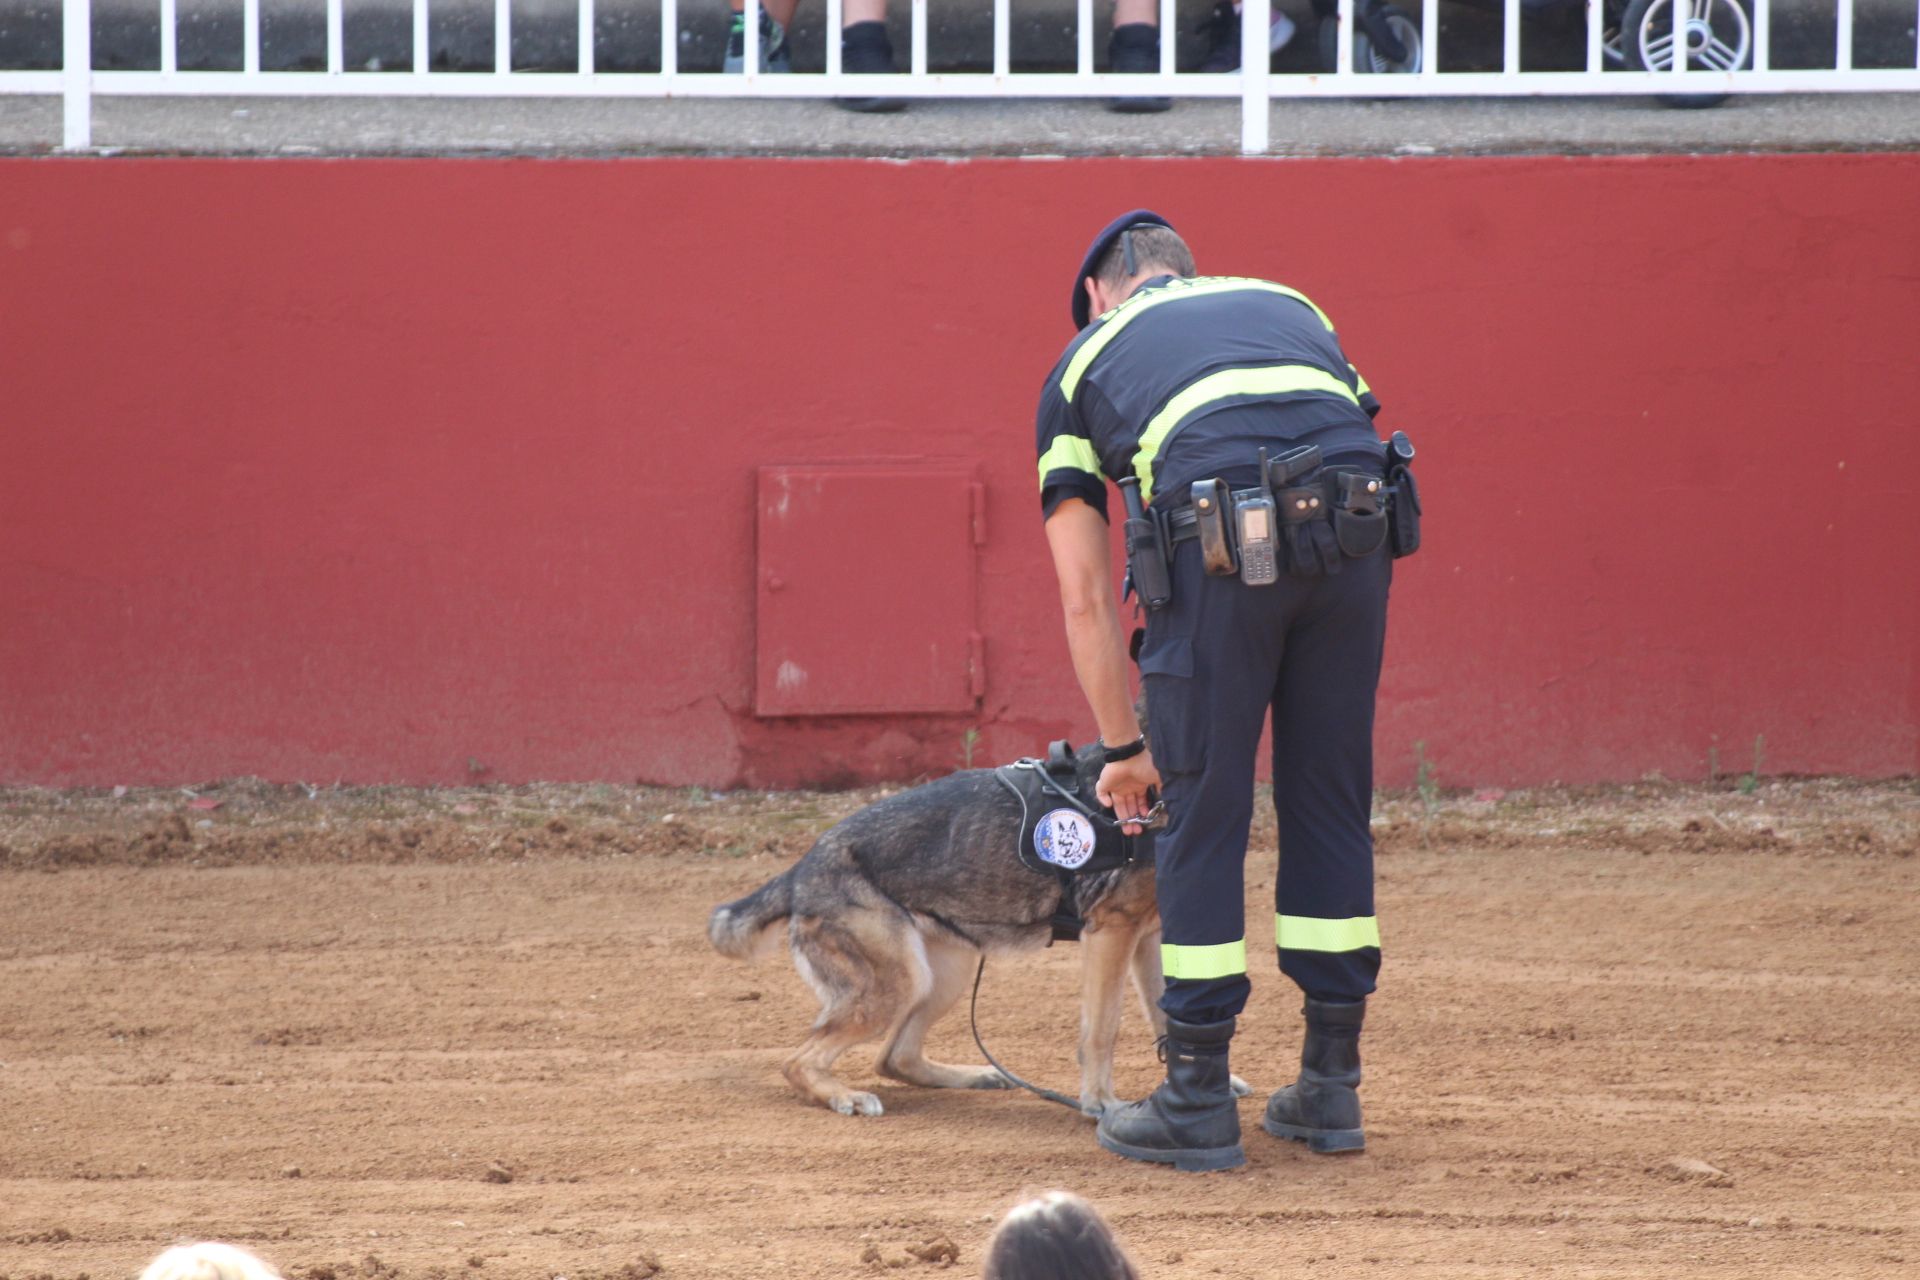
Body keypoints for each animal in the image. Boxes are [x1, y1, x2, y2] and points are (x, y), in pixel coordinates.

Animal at [714, 740, 1251, 1120]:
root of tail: (802, 868)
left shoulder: (1149, 937)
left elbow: (1166, 1012)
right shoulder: (1110, 933)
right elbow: (1102, 1030)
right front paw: (1099, 1103)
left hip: (942, 976)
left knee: (894, 1058)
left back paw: (973, 1076)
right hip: (897, 984)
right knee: (800, 1061)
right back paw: (844, 1095)